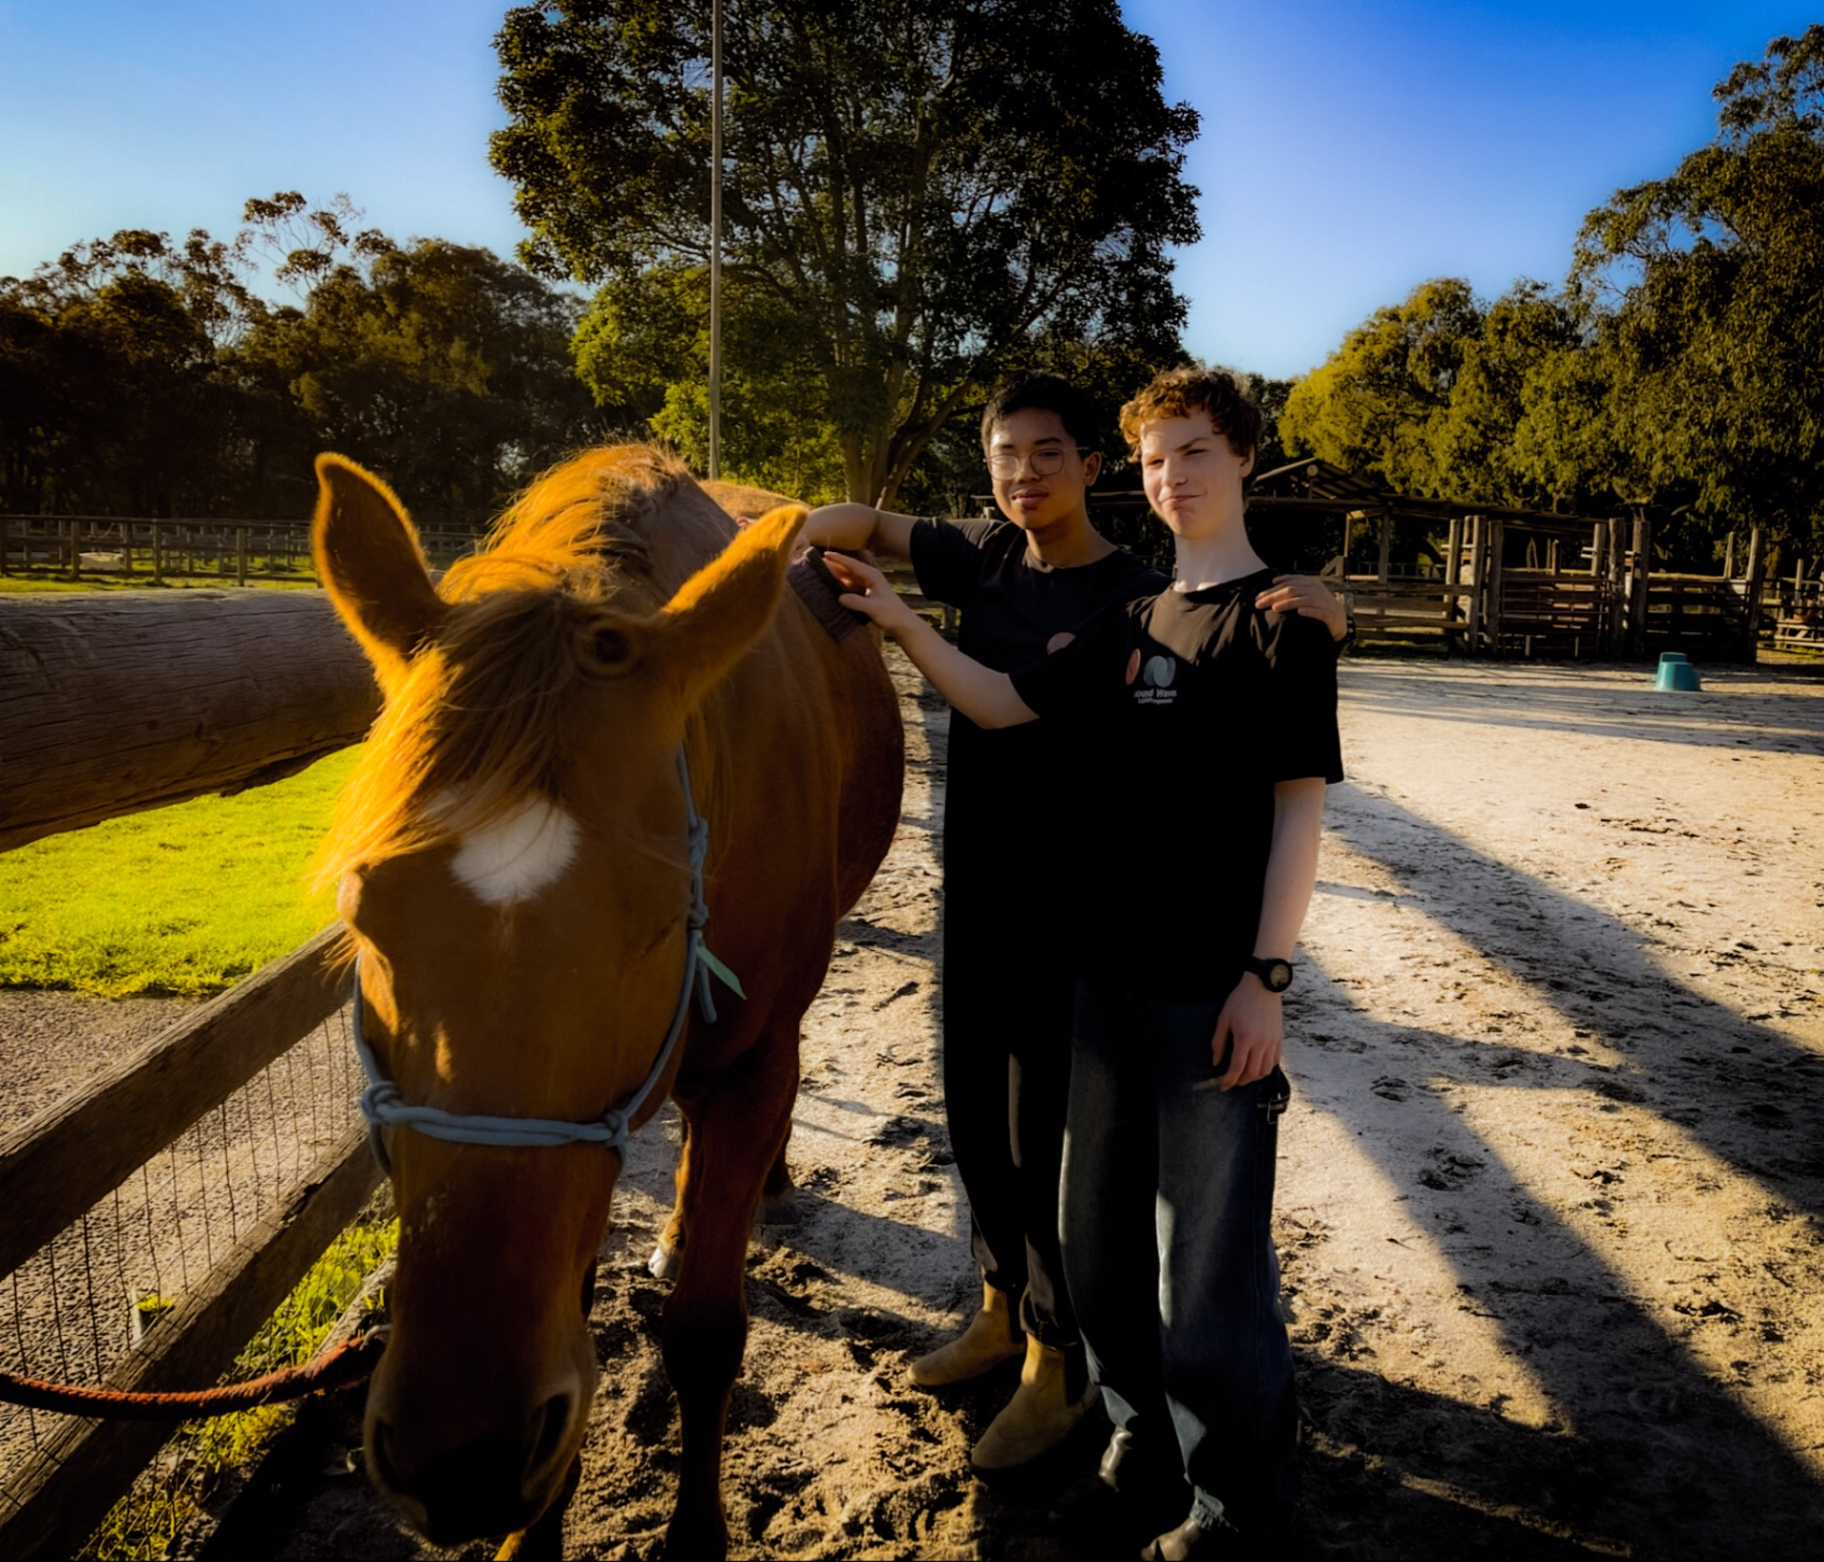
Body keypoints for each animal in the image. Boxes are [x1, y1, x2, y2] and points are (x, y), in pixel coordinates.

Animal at [310, 446, 904, 1557]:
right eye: (362, 913)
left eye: (666, 920)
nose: (462, 1454)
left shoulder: (750, 1069)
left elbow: (706, 1334)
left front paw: (696, 1532)